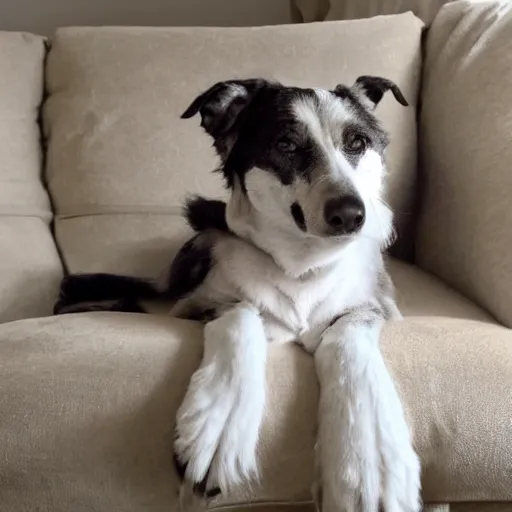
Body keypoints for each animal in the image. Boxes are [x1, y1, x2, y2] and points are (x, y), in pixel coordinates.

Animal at [56, 76, 422, 512]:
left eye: (357, 142)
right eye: (286, 144)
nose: (351, 214)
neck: (303, 266)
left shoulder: (375, 307)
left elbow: (349, 334)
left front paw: (370, 458)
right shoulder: (201, 302)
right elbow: (242, 313)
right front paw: (220, 423)